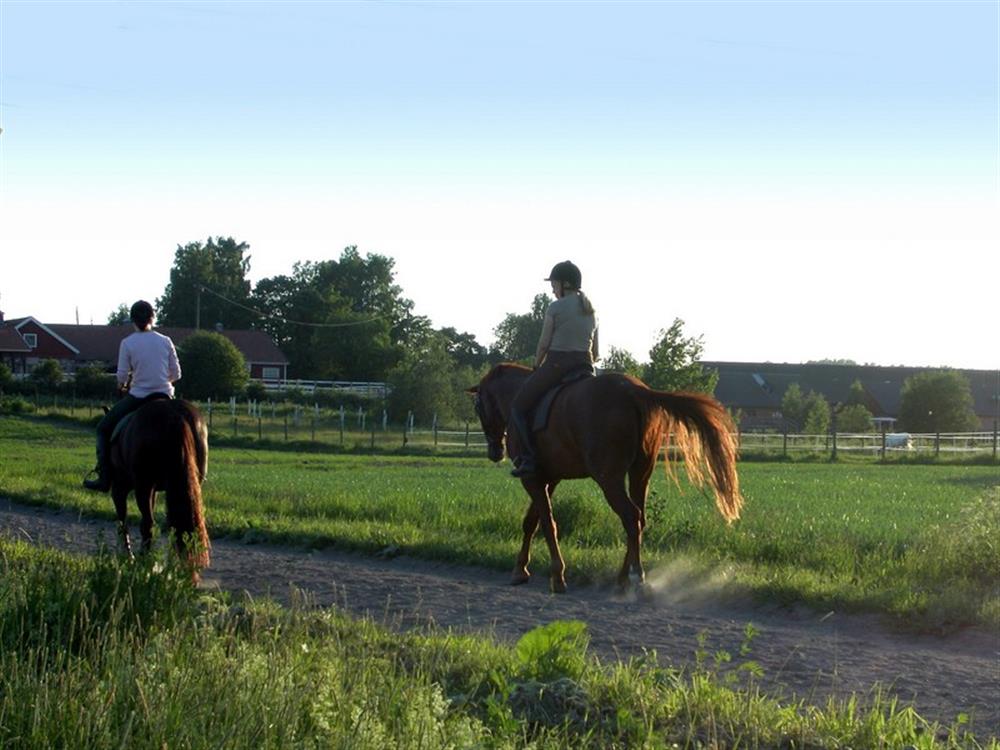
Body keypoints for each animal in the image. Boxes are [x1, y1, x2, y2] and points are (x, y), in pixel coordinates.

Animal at [109, 400, 211, 580]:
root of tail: (176, 415)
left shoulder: (121, 486)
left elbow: (123, 520)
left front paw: (128, 557)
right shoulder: (154, 490)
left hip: (143, 485)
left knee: (148, 524)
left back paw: (143, 560)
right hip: (188, 484)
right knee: (178, 526)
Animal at [468, 368, 744, 596]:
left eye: (478, 408)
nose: (495, 451)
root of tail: (635, 391)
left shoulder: (532, 479)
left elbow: (546, 524)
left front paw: (556, 576)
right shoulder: (549, 479)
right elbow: (531, 522)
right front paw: (520, 570)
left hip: (608, 478)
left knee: (630, 517)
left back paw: (636, 578)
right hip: (639, 474)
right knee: (638, 519)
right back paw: (624, 578)